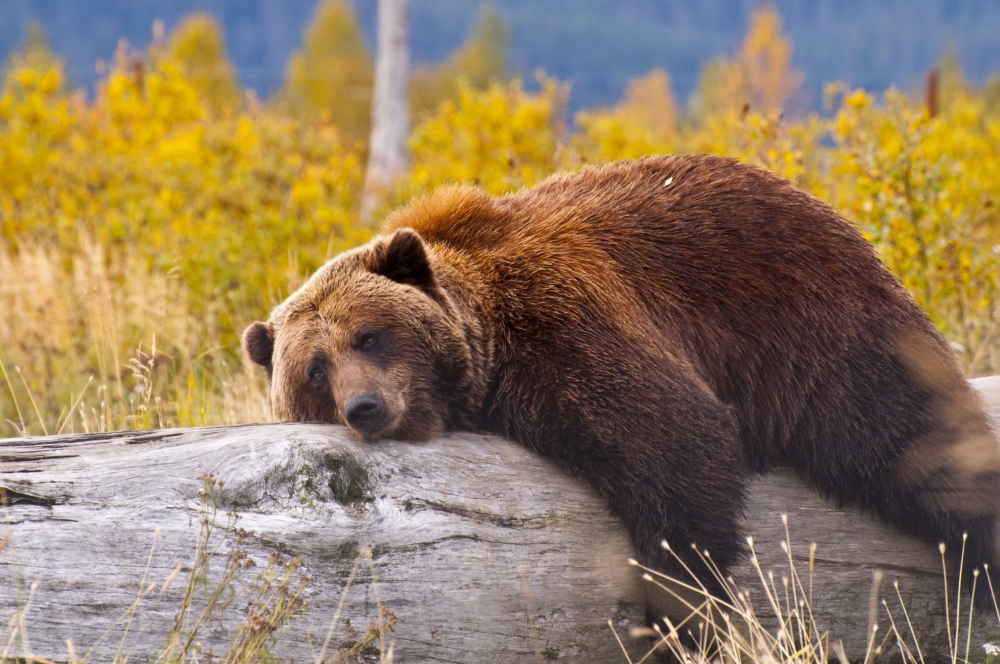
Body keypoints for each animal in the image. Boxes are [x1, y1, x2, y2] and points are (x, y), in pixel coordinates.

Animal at [244, 154, 1000, 617]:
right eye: (314, 369)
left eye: (369, 335)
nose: (366, 406)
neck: (493, 346)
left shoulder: (567, 320)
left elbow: (674, 441)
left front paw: (684, 608)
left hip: (823, 336)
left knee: (918, 445)